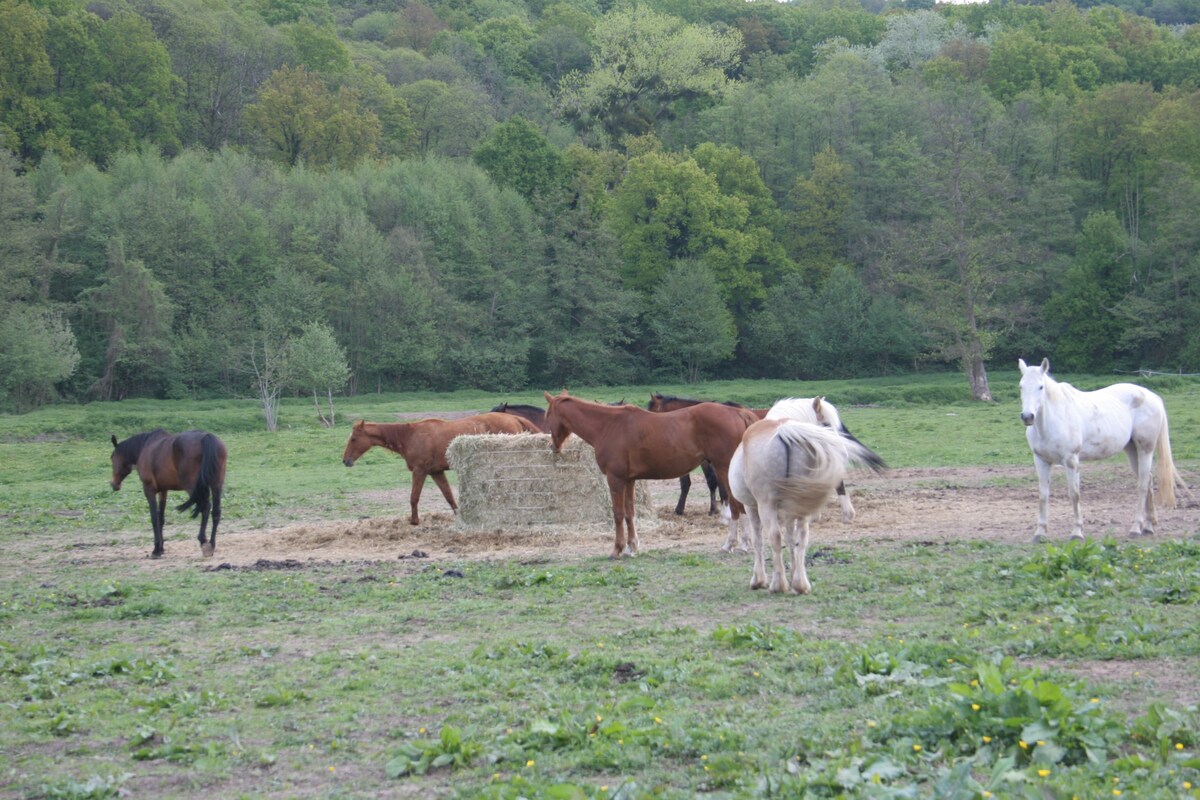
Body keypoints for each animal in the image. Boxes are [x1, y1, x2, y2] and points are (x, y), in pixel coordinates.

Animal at [111, 429, 228, 561]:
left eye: (112, 458)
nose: (114, 484)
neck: (145, 447)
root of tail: (207, 437)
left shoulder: (149, 490)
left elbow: (154, 518)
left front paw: (156, 549)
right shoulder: (163, 491)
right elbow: (161, 518)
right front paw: (161, 548)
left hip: (193, 487)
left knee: (206, 507)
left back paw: (203, 542)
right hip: (216, 484)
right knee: (216, 512)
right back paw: (212, 544)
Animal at [343, 412, 540, 525]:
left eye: (353, 439)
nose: (345, 461)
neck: (410, 436)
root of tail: (513, 417)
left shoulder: (420, 471)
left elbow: (414, 497)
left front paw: (414, 521)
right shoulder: (436, 472)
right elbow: (449, 497)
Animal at [547, 391, 758, 561]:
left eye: (548, 415)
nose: (552, 447)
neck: (608, 425)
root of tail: (738, 412)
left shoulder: (615, 479)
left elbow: (618, 513)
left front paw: (617, 549)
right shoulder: (629, 480)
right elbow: (629, 513)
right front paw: (631, 548)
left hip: (723, 468)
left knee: (736, 505)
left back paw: (736, 544)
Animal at [724, 419, 888, 594]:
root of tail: (784, 430)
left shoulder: (752, 507)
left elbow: (757, 541)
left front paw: (759, 579)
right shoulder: (789, 511)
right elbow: (791, 540)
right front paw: (793, 574)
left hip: (766, 506)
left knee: (775, 537)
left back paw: (778, 584)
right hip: (798, 509)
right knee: (802, 537)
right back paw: (800, 584)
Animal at [1017, 357, 1185, 542]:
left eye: (1041, 387)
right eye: (1021, 386)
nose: (1027, 417)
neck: (1053, 420)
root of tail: (1151, 396)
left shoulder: (1071, 461)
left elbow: (1074, 494)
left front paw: (1077, 532)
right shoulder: (1041, 461)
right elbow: (1043, 495)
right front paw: (1040, 533)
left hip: (1145, 449)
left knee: (1142, 485)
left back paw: (1135, 528)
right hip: (1132, 450)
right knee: (1147, 480)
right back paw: (1148, 527)